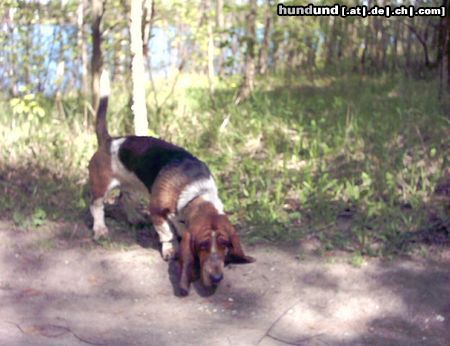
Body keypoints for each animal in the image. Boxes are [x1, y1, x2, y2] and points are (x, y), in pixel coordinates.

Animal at [88, 72, 255, 294]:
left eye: (225, 244)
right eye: (202, 246)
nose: (216, 278)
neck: (197, 191)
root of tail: (110, 140)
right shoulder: (157, 211)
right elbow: (166, 233)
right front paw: (170, 250)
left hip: (132, 185)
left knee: (125, 199)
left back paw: (134, 219)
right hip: (101, 187)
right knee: (96, 206)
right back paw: (100, 229)